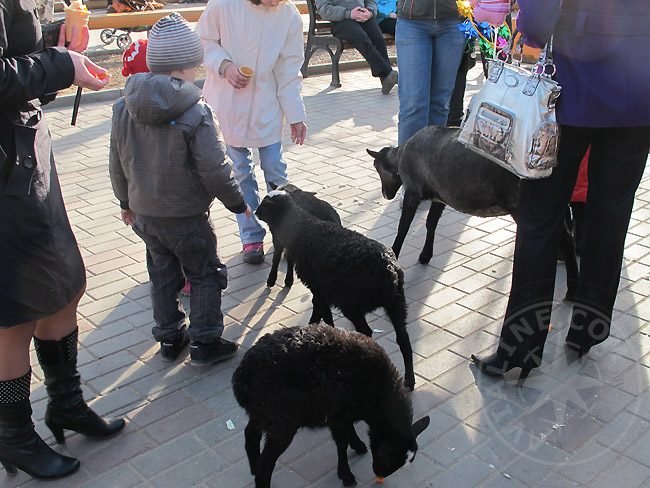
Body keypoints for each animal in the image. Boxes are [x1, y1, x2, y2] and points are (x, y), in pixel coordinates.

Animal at [230, 324, 428, 488]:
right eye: (388, 460)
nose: (379, 474)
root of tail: (243, 373)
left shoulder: (342, 412)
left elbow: (348, 433)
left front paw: (358, 446)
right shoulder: (338, 413)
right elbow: (341, 444)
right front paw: (346, 476)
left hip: (263, 411)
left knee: (250, 435)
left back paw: (253, 467)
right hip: (281, 420)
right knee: (265, 464)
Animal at [364, 125, 576, 302]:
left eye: (377, 167)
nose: (386, 194)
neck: (401, 156)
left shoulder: (413, 192)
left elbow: (403, 228)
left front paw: (394, 255)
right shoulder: (440, 197)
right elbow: (431, 222)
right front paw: (425, 255)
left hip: (521, 203)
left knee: (561, 238)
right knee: (566, 235)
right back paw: (571, 287)